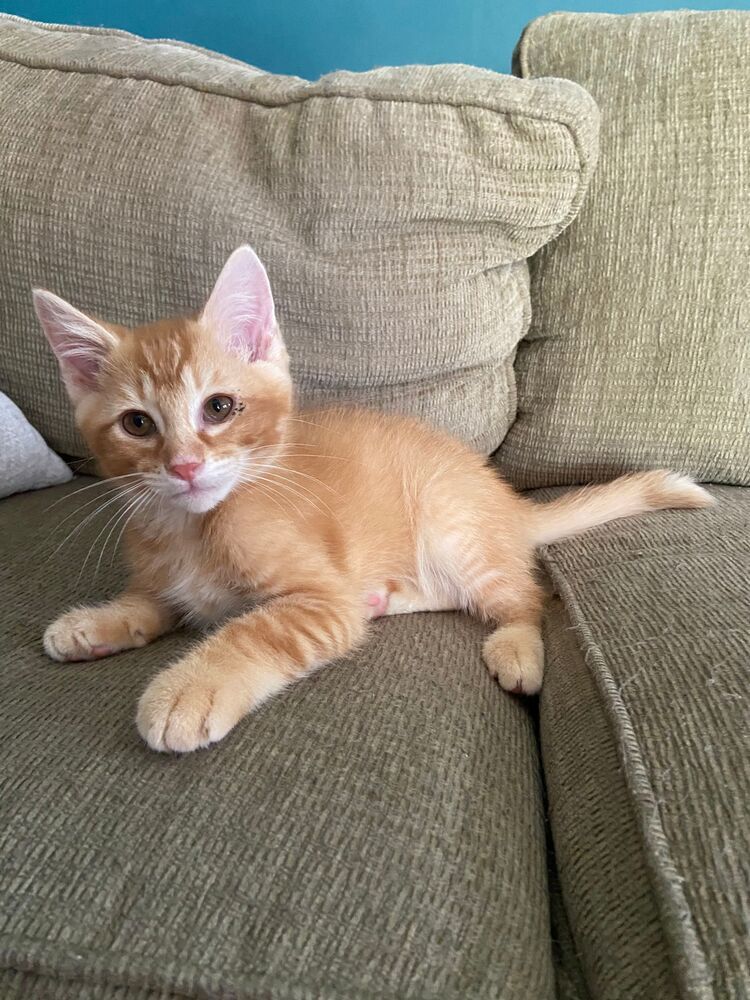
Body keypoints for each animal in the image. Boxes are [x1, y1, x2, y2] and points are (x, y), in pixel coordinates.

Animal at [35, 248, 712, 752]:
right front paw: (97, 622)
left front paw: (187, 690)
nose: (183, 466)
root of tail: (502, 499)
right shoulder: (173, 580)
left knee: (527, 596)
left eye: (219, 408)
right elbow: (151, 602)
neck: (190, 527)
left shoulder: (321, 599)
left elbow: (252, 631)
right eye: (136, 425)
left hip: (452, 526)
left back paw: (517, 645)